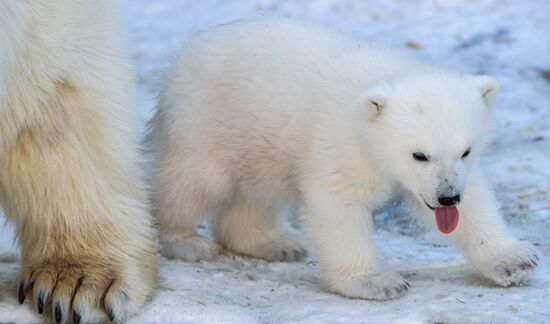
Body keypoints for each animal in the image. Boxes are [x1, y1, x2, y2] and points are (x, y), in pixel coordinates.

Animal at [149, 17, 540, 300]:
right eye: (419, 154)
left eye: (466, 150)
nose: (447, 197)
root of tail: (189, 49)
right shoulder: (340, 141)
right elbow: (338, 203)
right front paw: (377, 282)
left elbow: (474, 201)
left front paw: (514, 261)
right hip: (207, 119)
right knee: (192, 181)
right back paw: (184, 241)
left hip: (261, 138)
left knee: (258, 192)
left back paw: (277, 243)